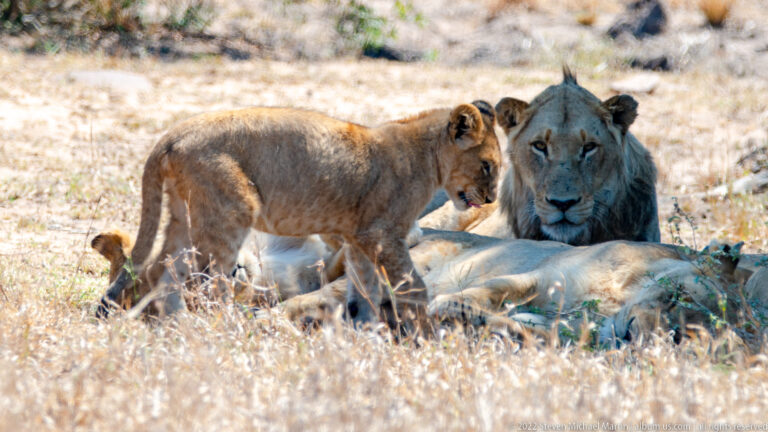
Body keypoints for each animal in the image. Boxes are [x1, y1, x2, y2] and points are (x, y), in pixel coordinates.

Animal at [97, 101, 502, 330]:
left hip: (185, 216)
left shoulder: (359, 239)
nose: (492, 197)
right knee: (208, 282)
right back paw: (221, 323)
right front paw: (423, 333)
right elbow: (414, 286)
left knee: (163, 271)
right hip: (233, 208)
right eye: (487, 165)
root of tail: (170, 136)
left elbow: (365, 291)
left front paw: (367, 332)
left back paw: (174, 325)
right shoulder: (383, 236)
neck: (426, 158)